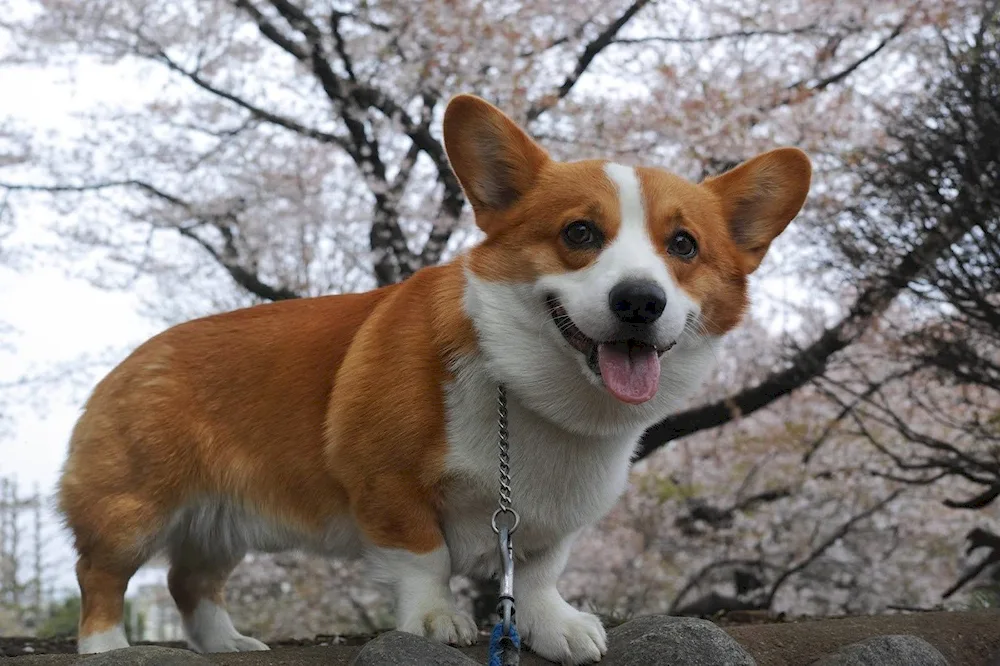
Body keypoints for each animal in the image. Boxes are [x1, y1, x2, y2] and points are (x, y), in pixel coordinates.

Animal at [56, 94, 812, 664]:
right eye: (579, 233)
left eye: (683, 245)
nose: (639, 301)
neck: (534, 394)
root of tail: (133, 358)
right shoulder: (386, 482)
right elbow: (425, 557)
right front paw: (434, 621)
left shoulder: (553, 518)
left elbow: (539, 572)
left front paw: (552, 625)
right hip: (133, 508)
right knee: (100, 574)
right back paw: (108, 646)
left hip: (224, 524)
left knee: (191, 583)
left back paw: (226, 643)